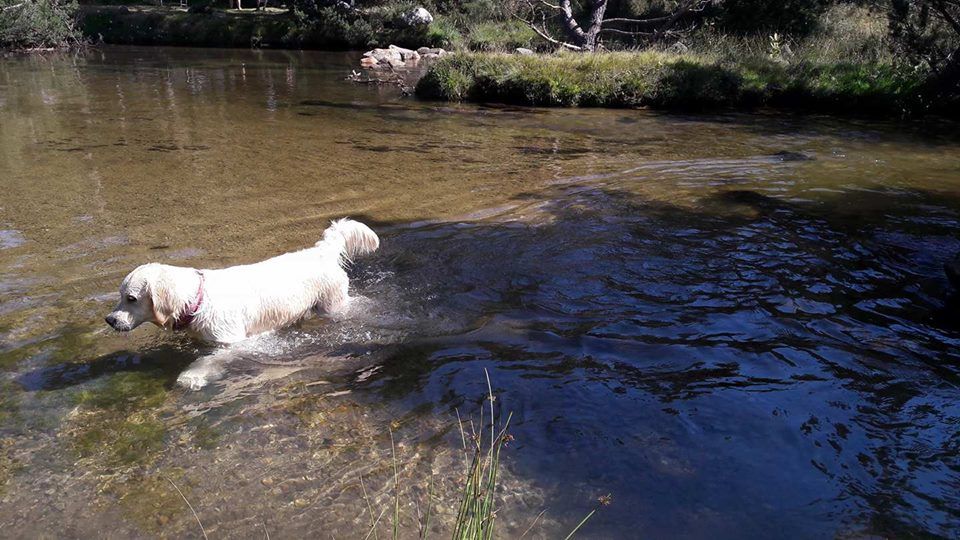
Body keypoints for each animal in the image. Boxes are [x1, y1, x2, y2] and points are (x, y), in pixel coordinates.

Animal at [103, 219, 376, 388]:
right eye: (120, 295)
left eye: (131, 298)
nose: (109, 320)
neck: (198, 301)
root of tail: (320, 252)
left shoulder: (235, 343)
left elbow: (209, 360)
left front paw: (191, 377)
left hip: (334, 306)